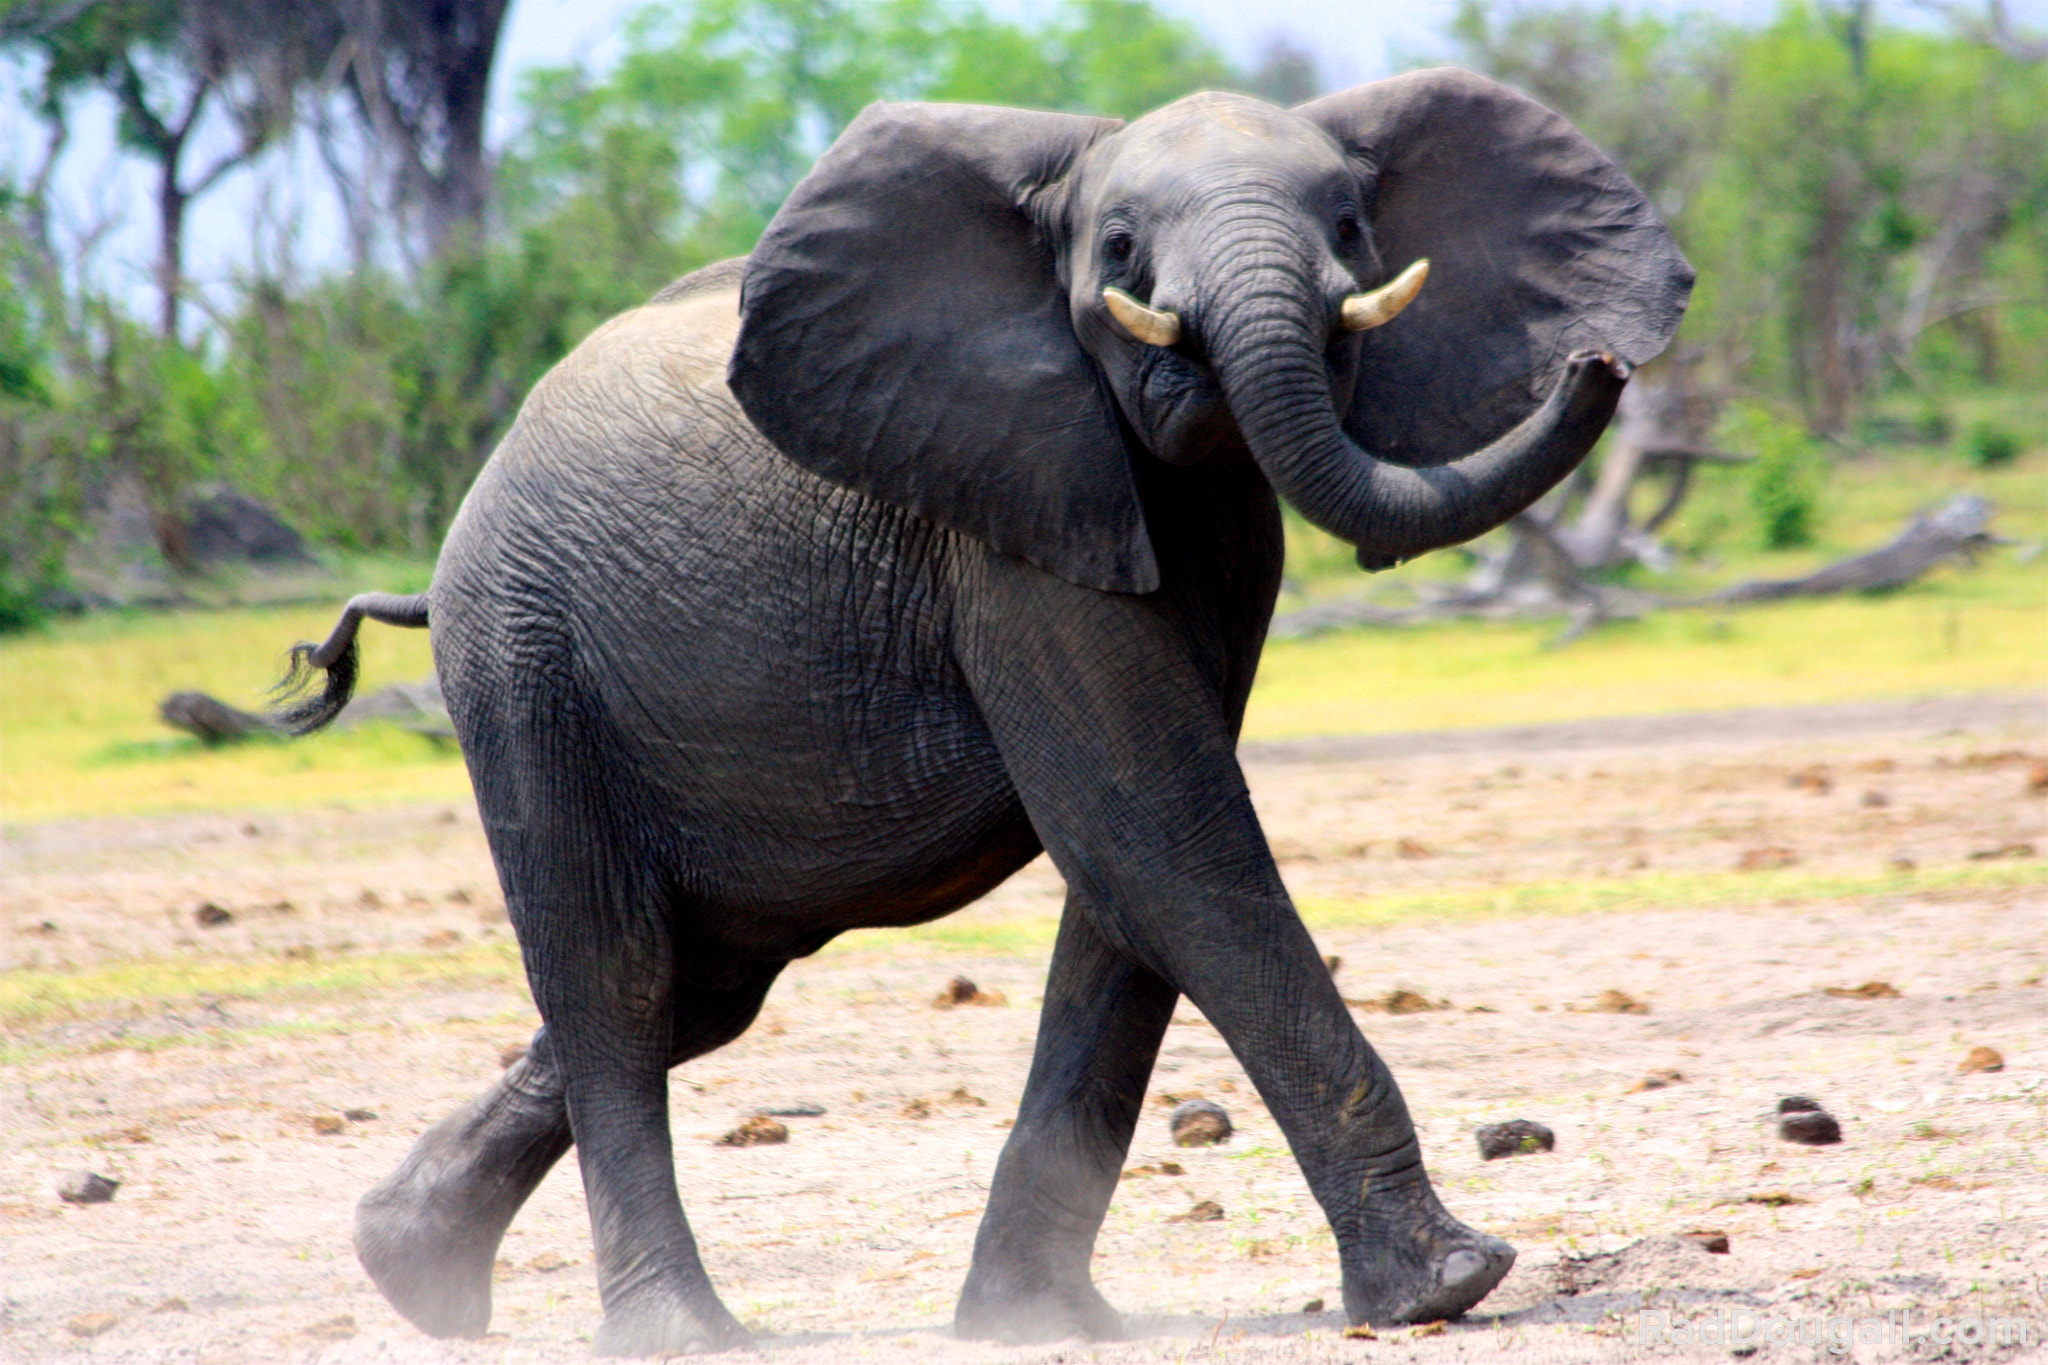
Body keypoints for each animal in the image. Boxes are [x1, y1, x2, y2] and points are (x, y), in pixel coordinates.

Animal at [268, 69, 1689, 1355]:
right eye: (1119, 252)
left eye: (1349, 224)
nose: (1598, 363)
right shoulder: (1002, 531)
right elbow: (1160, 835)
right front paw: (1450, 1286)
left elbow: (1132, 879)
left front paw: (1031, 1323)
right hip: (523, 657)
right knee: (614, 977)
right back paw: (674, 1333)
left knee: (702, 989)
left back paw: (406, 1270)